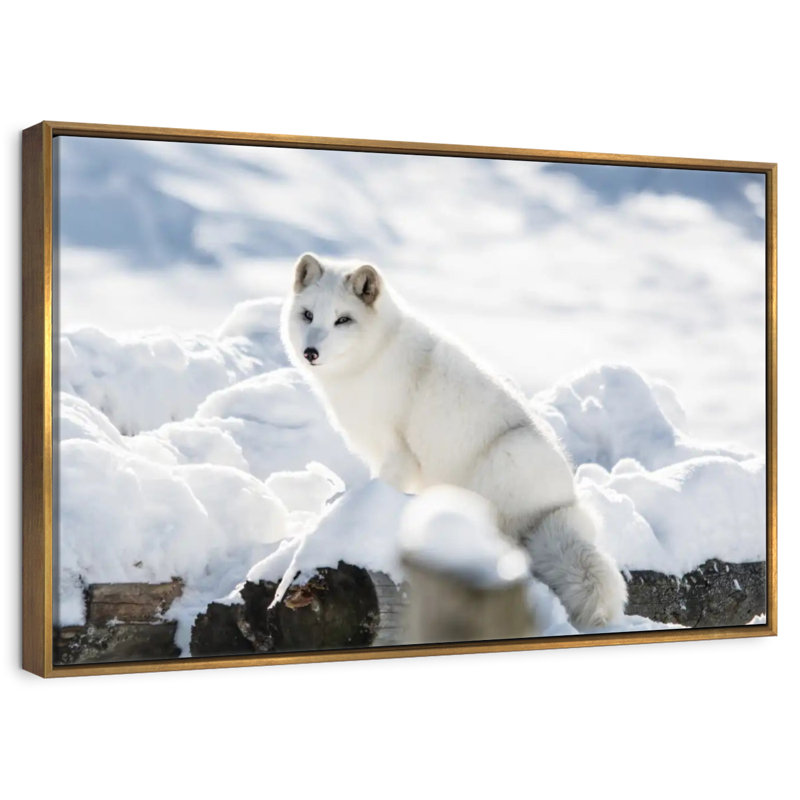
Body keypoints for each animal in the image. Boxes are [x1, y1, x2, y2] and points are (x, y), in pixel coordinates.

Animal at [280, 252, 627, 629]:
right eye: (308, 315)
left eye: (342, 320)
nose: (310, 352)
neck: (374, 357)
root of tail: (563, 505)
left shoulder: (398, 453)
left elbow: (378, 487)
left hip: (505, 457)